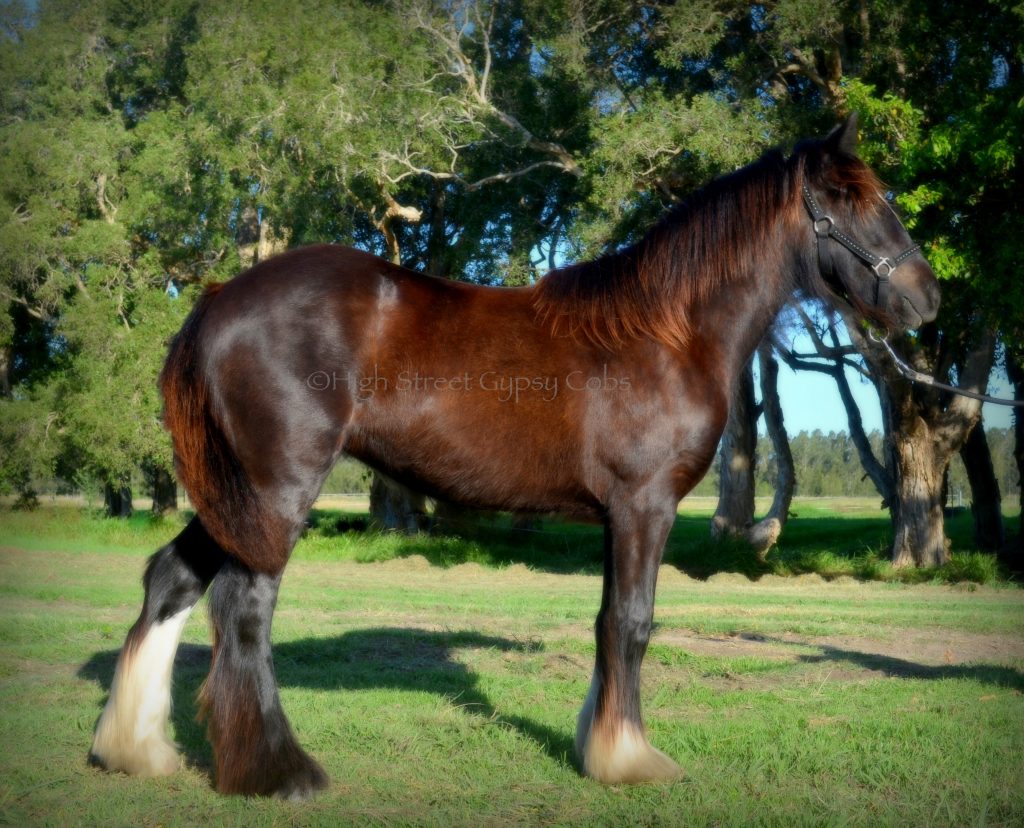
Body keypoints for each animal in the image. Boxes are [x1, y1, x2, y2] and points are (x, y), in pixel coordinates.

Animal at [92, 114, 937, 794]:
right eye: (851, 201)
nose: (926, 297)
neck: (666, 331)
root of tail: (216, 300)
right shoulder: (645, 505)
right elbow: (633, 622)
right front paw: (630, 759)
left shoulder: (617, 516)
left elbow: (606, 623)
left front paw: (599, 747)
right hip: (276, 490)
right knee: (245, 607)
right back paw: (279, 772)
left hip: (231, 493)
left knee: (171, 579)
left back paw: (137, 750)